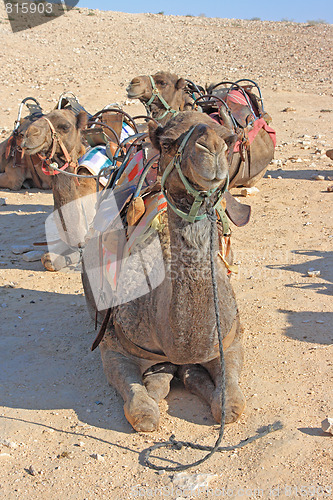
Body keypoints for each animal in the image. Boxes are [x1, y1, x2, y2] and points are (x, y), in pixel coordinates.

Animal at [82, 111, 244, 432]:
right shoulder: (114, 345)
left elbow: (231, 404)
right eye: (168, 143)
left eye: (228, 140)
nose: (211, 148)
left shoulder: (231, 340)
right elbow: (141, 410)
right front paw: (156, 387)